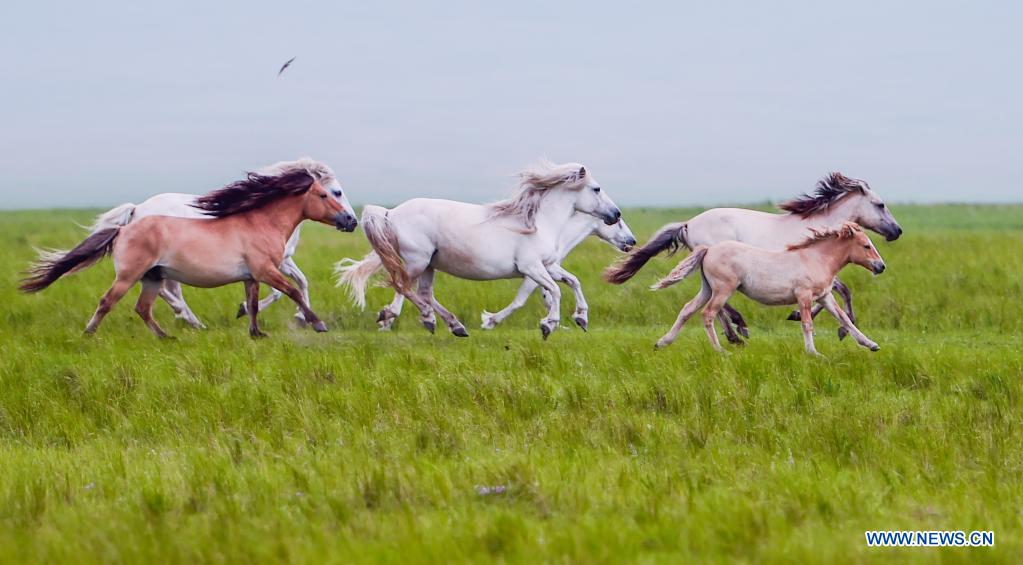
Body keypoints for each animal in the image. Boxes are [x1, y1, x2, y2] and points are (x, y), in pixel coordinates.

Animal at [18, 158, 360, 337]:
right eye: (331, 193)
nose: (351, 221)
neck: (259, 221)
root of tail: (126, 224)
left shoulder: (253, 275)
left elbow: (259, 300)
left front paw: (256, 331)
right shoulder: (268, 269)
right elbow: (291, 290)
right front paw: (316, 323)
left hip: (153, 276)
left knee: (145, 306)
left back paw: (169, 334)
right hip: (133, 275)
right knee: (111, 301)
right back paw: (92, 333)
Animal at [337, 158, 621, 337]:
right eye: (596, 189)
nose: (616, 213)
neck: (540, 223)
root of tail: (390, 212)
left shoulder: (548, 266)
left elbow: (573, 282)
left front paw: (581, 318)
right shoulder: (531, 267)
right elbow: (555, 290)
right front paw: (549, 325)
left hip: (429, 264)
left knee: (424, 293)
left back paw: (454, 326)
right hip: (417, 260)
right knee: (404, 286)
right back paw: (415, 317)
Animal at [605, 170, 904, 339]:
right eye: (880, 204)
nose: (897, 231)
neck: (819, 226)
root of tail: (689, 223)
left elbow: (837, 292)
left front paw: (805, 316)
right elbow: (844, 291)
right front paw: (839, 328)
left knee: (711, 302)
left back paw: (734, 333)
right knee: (717, 304)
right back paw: (738, 330)